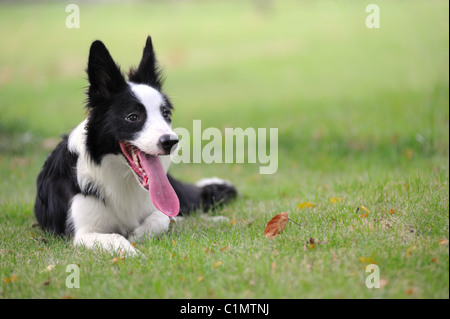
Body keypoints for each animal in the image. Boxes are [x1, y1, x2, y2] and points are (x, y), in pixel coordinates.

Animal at [33, 37, 237, 258]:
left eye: (166, 114)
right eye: (133, 117)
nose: (171, 142)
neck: (122, 179)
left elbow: (163, 218)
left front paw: (139, 234)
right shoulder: (83, 233)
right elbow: (116, 237)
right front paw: (134, 253)